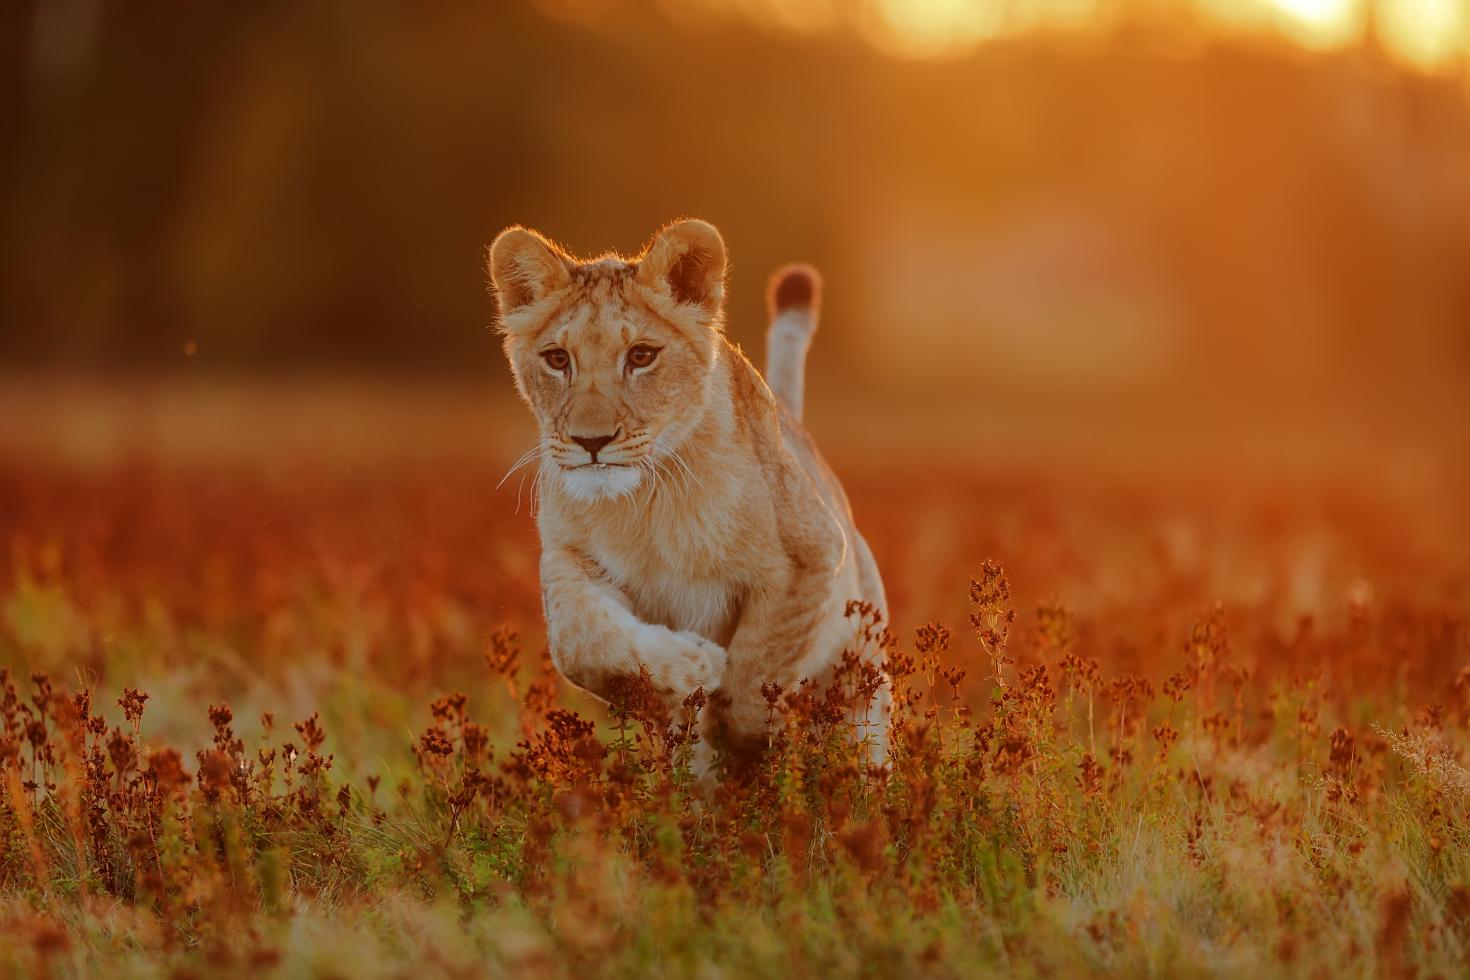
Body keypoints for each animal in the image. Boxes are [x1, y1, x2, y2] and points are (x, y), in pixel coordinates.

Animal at [488, 218, 890, 769]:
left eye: (641, 356)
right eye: (557, 359)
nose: (591, 442)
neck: (644, 503)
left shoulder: (810, 555)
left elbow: (758, 671)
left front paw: (742, 742)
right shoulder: (566, 561)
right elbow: (580, 644)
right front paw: (694, 667)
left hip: (864, 672)